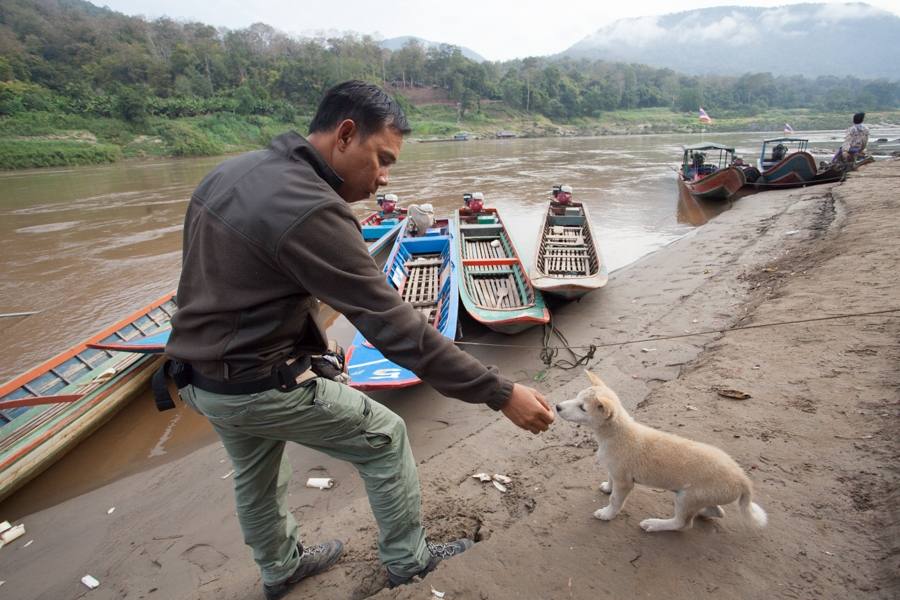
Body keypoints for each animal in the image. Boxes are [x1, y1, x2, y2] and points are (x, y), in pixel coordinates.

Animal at [556, 372, 768, 532]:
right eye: (576, 396)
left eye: (582, 408)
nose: (557, 406)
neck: (616, 434)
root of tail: (743, 479)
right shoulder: (614, 471)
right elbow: (610, 481)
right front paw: (607, 487)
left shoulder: (625, 482)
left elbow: (615, 499)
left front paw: (607, 514)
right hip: (700, 497)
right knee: (716, 512)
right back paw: (702, 513)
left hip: (687, 497)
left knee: (683, 524)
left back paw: (655, 524)